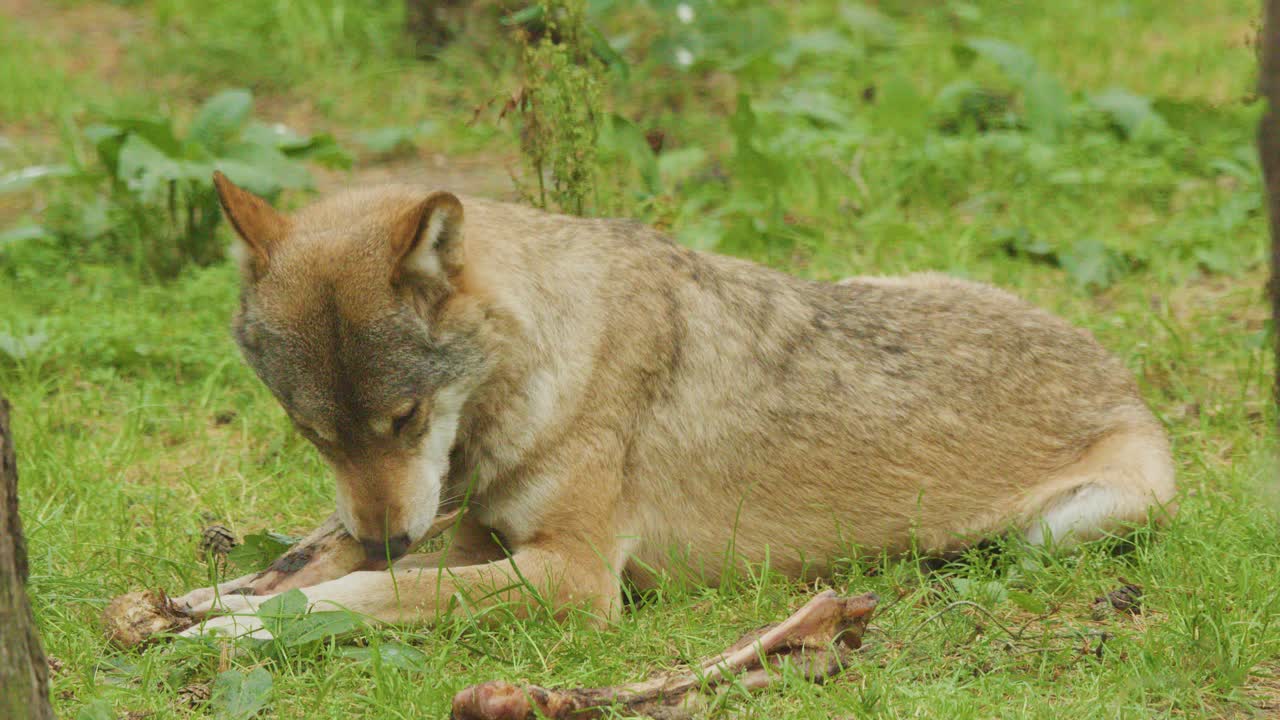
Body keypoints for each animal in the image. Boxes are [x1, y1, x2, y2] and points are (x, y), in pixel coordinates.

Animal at [176, 172, 1175, 637]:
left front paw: (251, 623)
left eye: (406, 420)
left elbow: (366, 588)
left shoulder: (574, 579)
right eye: (312, 435)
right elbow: (314, 560)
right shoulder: (469, 535)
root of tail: (1120, 373)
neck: (550, 362)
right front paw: (208, 599)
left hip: (1076, 524)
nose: (388, 534)